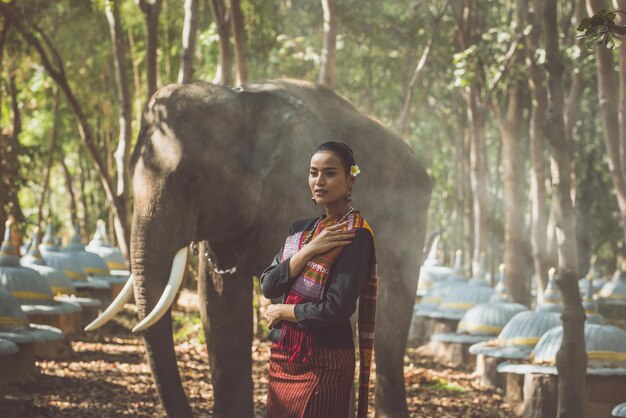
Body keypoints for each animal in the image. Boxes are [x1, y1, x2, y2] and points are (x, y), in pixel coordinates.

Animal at [88, 79, 428, 418]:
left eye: (193, 179)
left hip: (411, 223)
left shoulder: (290, 187)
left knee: (389, 325)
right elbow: (218, 306)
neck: (243, 100)